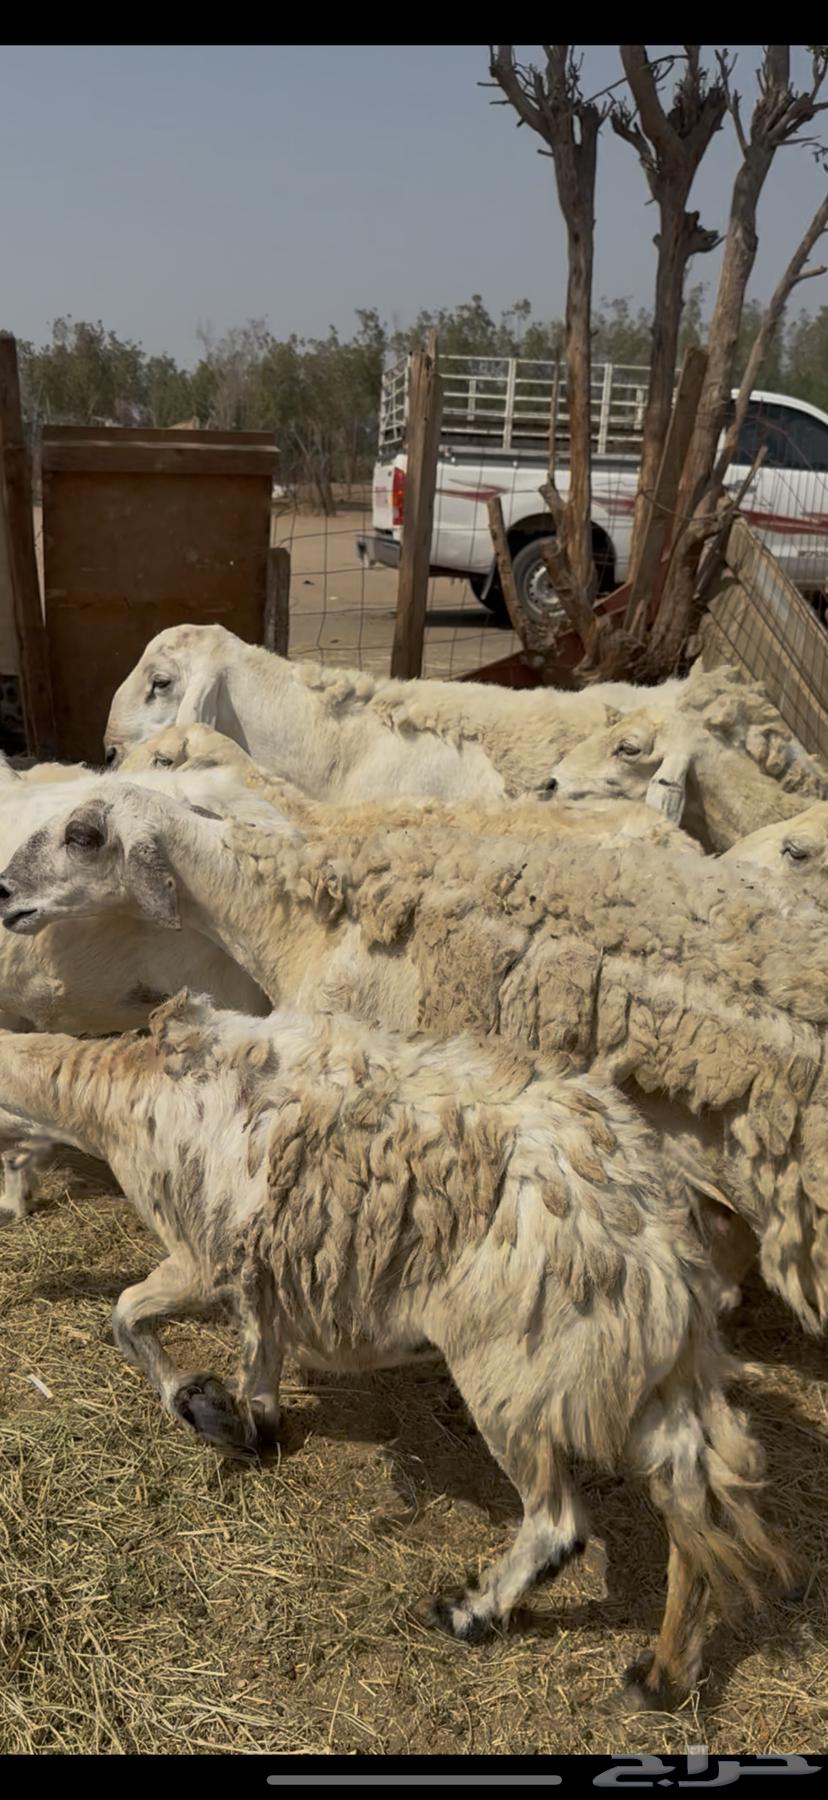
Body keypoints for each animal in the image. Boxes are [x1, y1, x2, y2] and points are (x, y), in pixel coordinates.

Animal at [0, 989, 789, 1707]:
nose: (13, 1209)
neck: (121, 1091)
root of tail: (663, 1246)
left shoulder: (202, 1256)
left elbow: (126, 1318)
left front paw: (201, 1407)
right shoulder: (262, 1269)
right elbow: (260, 1347)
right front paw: (251, 1421)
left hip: (517, 1370)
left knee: (560, 1521)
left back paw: (473, 1612)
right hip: (630, 1367)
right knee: (689, 1494)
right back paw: (662, 1676)